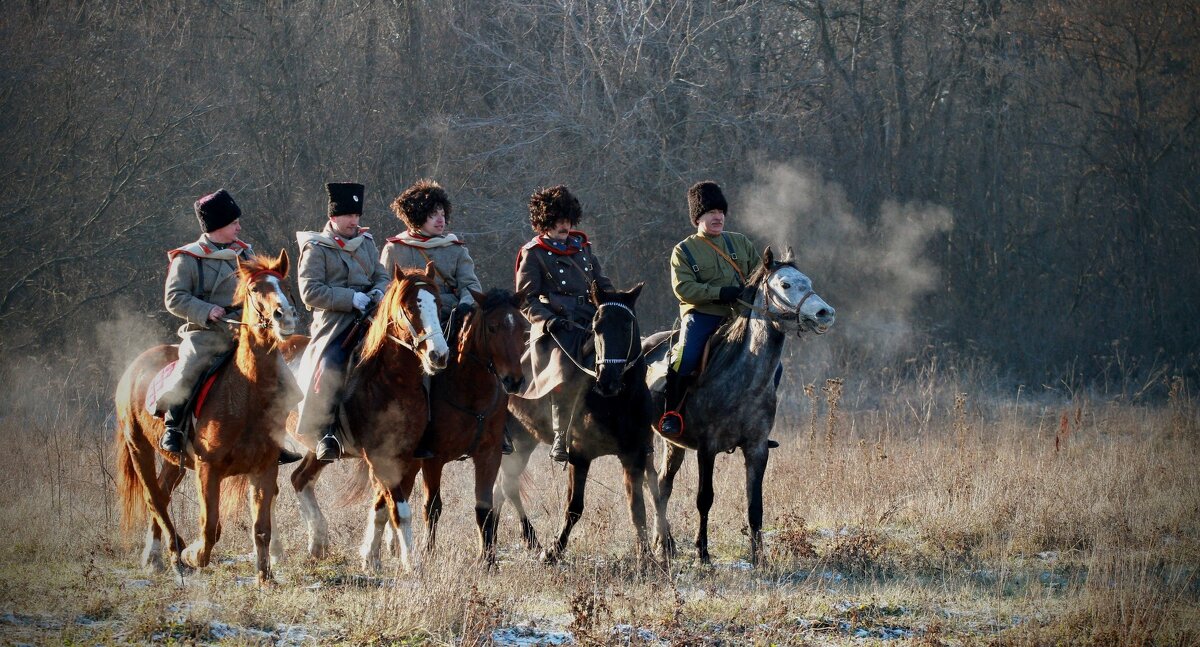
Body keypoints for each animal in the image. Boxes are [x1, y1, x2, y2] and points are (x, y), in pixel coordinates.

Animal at [113, 250, 300, 585]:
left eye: (286, 285)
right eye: (255, 289)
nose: (286, 317)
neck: (246, 394)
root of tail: (135, 366)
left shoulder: (264, 469)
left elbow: (261, 529)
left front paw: (265, 579)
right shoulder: (207, 470)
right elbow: (211, 528)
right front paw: (192, 554)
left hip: (173, 461)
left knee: (162, 493)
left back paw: (156, 557)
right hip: (139, 448)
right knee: (154, 499)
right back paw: (175, 554)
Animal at [286, 262, 451, 571]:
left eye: (438, 304)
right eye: (409, 308)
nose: (439, 355)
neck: (393, 382)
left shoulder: (406, 458)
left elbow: (382, 508)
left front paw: (371, 559)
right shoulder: (379, 457)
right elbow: (399, 510)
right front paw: (410, 563)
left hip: (318, 449)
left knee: (300, 479)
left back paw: (318, 543)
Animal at [420, 288, 528, 566]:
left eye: (523, 328)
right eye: (492, 327)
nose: (514, 380)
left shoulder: (489, 455)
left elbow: (484, 508)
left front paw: (487, 560)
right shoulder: (432, 459)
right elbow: (432, 506)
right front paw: (428, 553)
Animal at [494, 282, 657, 561]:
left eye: (627, 326)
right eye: (596, 327)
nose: (607, 381)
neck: (617, 403)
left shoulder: (633, 455)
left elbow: (637, 507)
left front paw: (647, 556)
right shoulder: (580, 456)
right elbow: (574, 507)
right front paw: (553, 550)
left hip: (524, 439)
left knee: (501, 488)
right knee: (507, 486)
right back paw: (526, 538)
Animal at [648, 248, 835, 566]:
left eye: (808, 281)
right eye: (785, 284)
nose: (825, 313)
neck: (743, 379)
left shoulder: (757, 448)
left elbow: (754, 505)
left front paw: (759, 559)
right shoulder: (707, 447)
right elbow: (704, 498)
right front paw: (703, 554)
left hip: (673, 443)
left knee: (663, 486)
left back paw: (664, 545)